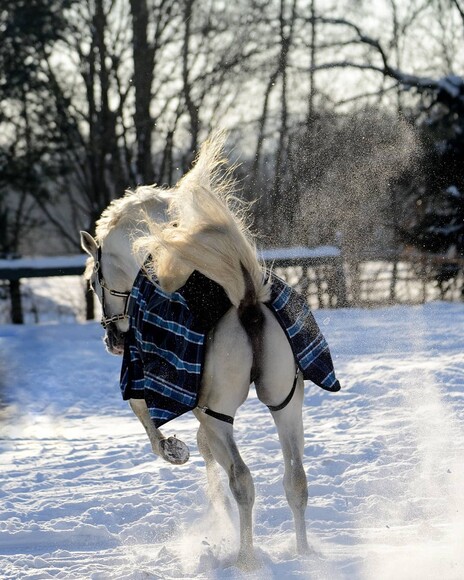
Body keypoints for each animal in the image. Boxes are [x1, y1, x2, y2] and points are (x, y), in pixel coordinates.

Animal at [80, 135, 312, 568]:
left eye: (92, 281)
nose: (113, 340)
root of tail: (248, 300)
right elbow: (206, 452)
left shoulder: (145, 381)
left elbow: (148, 421)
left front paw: (175, 451)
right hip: (286, 402)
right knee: (295, 480)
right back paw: (305, 553)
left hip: (220, 412)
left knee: (243, 479)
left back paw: (246, 558)